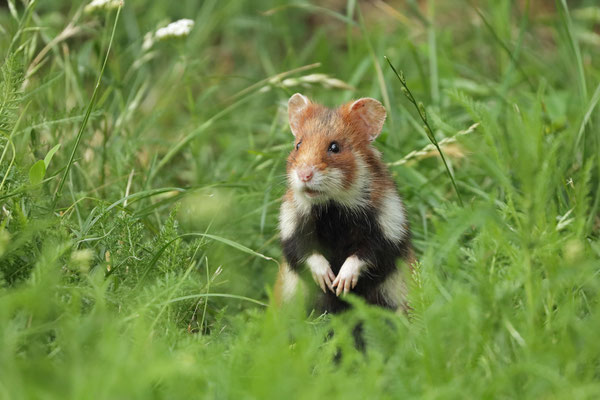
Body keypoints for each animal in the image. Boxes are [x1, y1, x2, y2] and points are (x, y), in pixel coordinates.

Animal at [274, 93, 414, 312]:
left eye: (334, 147)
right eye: (298, 145)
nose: (304, 175)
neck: (333, 207)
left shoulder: (389, 229)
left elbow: (365, 254)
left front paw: (340, 284)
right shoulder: (292, 228)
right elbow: (305, 251)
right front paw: (327, 281)